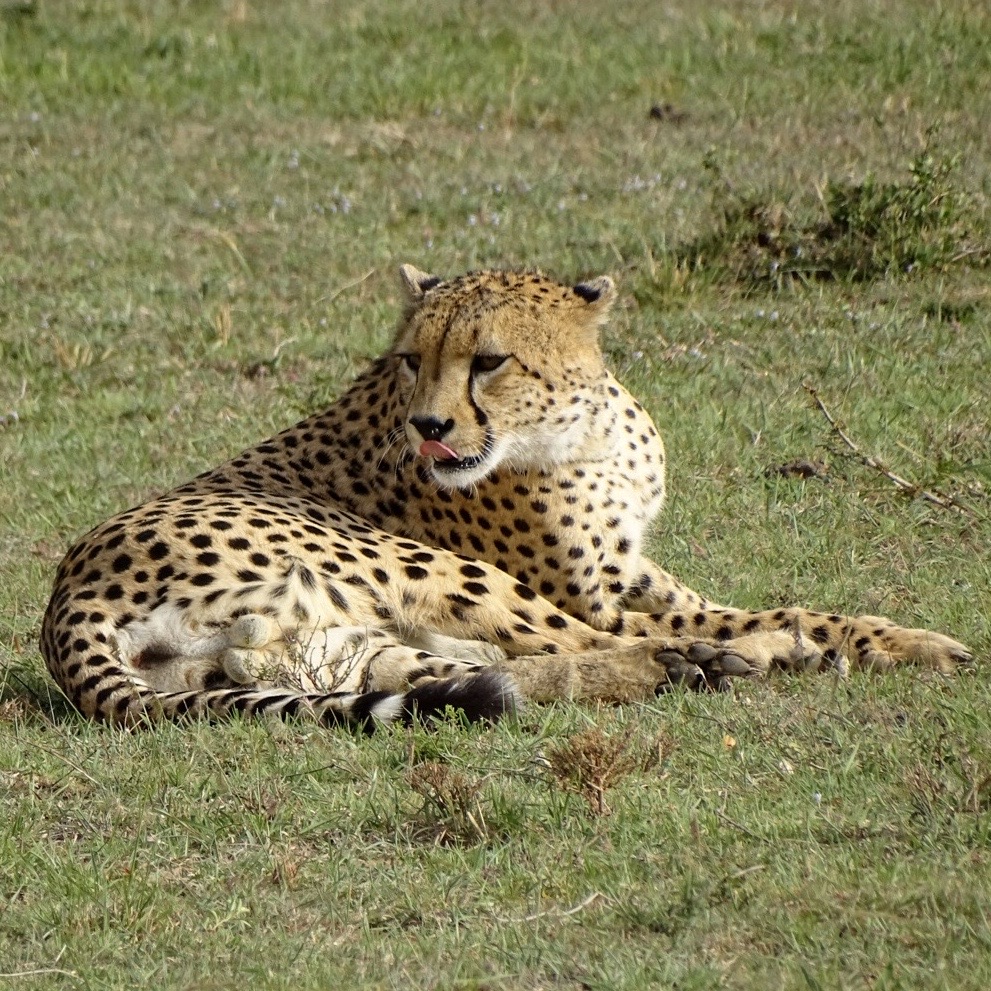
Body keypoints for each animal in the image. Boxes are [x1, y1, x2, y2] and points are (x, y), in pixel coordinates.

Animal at [40, 268, 968, 732]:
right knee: (575, 647)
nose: (427, 427)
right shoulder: (595, 593)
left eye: (487, 360)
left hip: (327, 646)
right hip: (419, 566)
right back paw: (731, 661)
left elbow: (774, 602)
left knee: (490, 670)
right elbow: (751, 613)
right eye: (412, 358)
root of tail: (64, 600)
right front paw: (827, 642)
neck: (582, 426)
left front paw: (900, 638)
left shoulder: (632, 569)